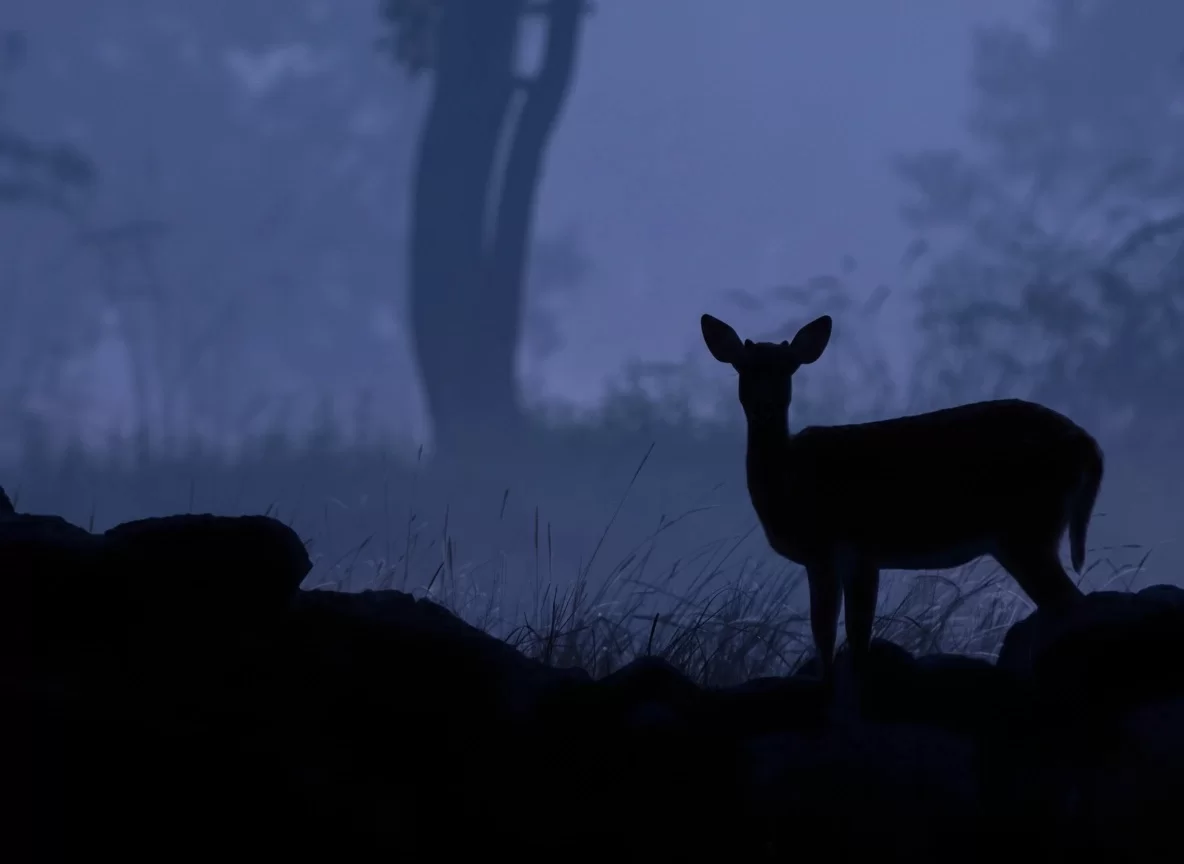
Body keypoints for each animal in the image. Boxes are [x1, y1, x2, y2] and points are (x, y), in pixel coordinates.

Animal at [700, 312, 1104, 687]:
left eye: (787, 368)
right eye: (743, 367)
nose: (764, 406)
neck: (788, 479)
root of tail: (1087, 444)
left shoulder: (839, 547)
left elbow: (836, 633)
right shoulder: (848, 557)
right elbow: (844, 633)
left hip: (1027, 528)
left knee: (1071, 604)